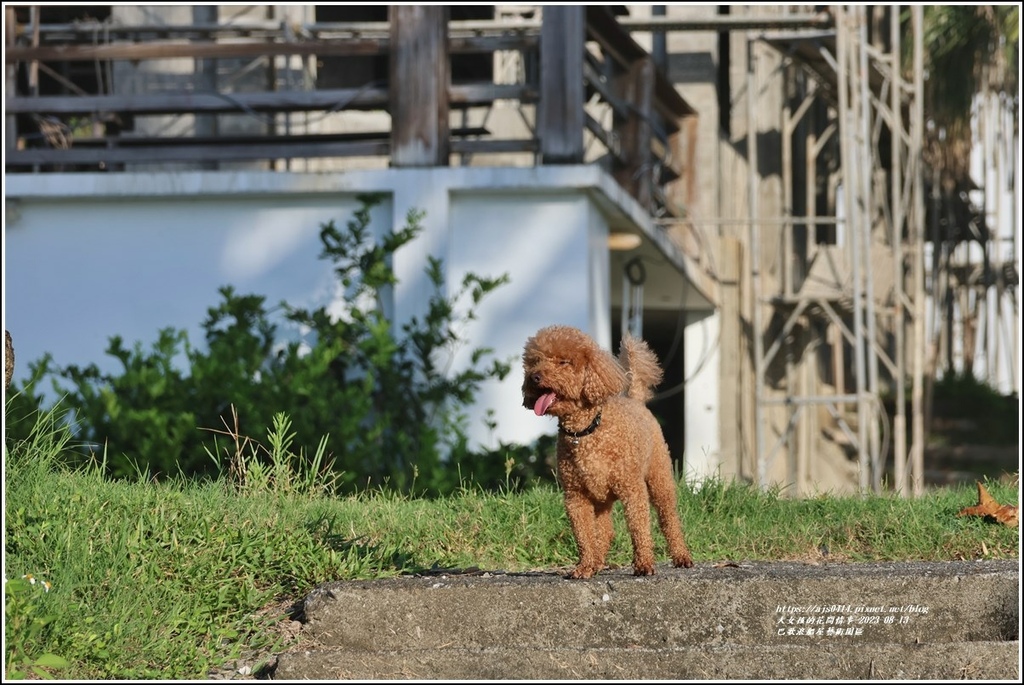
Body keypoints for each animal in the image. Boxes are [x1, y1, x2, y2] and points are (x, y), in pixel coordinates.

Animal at [524, 325, 692, 577]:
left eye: (564, 362)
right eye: (536, 361)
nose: (534, 377)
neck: (586, 432)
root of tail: (636, 400)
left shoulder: (632, 490)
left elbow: (639, 528)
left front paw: (644, 564)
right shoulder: (575, 497)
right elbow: (584, 535)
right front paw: (584, 567)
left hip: (659, 478)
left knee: (669, 520)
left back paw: (681, 556)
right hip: (602, 497)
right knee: (604, 530)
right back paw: (596, 562)